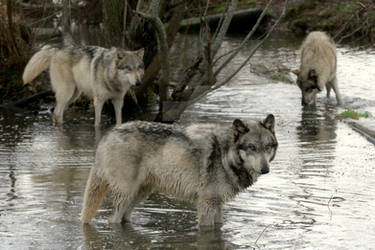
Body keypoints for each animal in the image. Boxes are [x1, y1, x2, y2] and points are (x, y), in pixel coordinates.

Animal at [80, 115, 280, 229]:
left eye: (267, 147)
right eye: (252, 148)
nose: (265, 169)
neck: (225, 155)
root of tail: (108, 134)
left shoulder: (216, 205)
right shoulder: (206, 205)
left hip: (140, 194)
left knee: (124, 219)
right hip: (127, 195)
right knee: (113, 220)